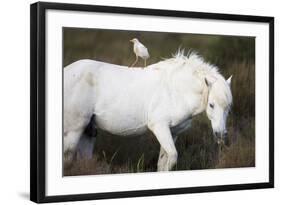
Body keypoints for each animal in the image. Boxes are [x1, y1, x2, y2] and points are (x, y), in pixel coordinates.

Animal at [64, 51, 232, 171]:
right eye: (211, 105)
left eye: (228, 108)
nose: (220, 135)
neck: (175, 90)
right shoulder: (159, 127)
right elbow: (172, 157)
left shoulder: (173, 132)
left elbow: (163, 163)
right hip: (74, 130)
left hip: (88, 131)